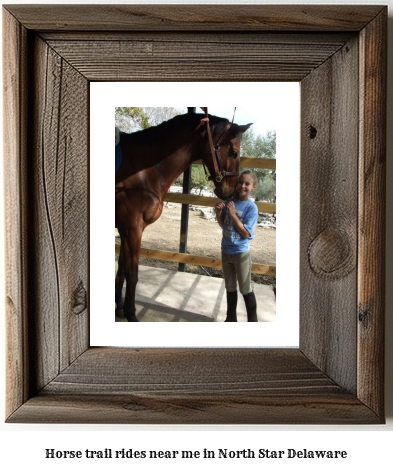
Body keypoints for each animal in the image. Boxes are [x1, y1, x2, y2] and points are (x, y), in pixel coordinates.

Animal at [115, 109, 251, 320]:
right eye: (234, 152)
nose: (230, 191)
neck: (142, 170)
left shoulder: (125, 229)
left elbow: (122, 266)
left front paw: (120, 307)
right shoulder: (132, 228)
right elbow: (132, 272)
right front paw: (131, 314)